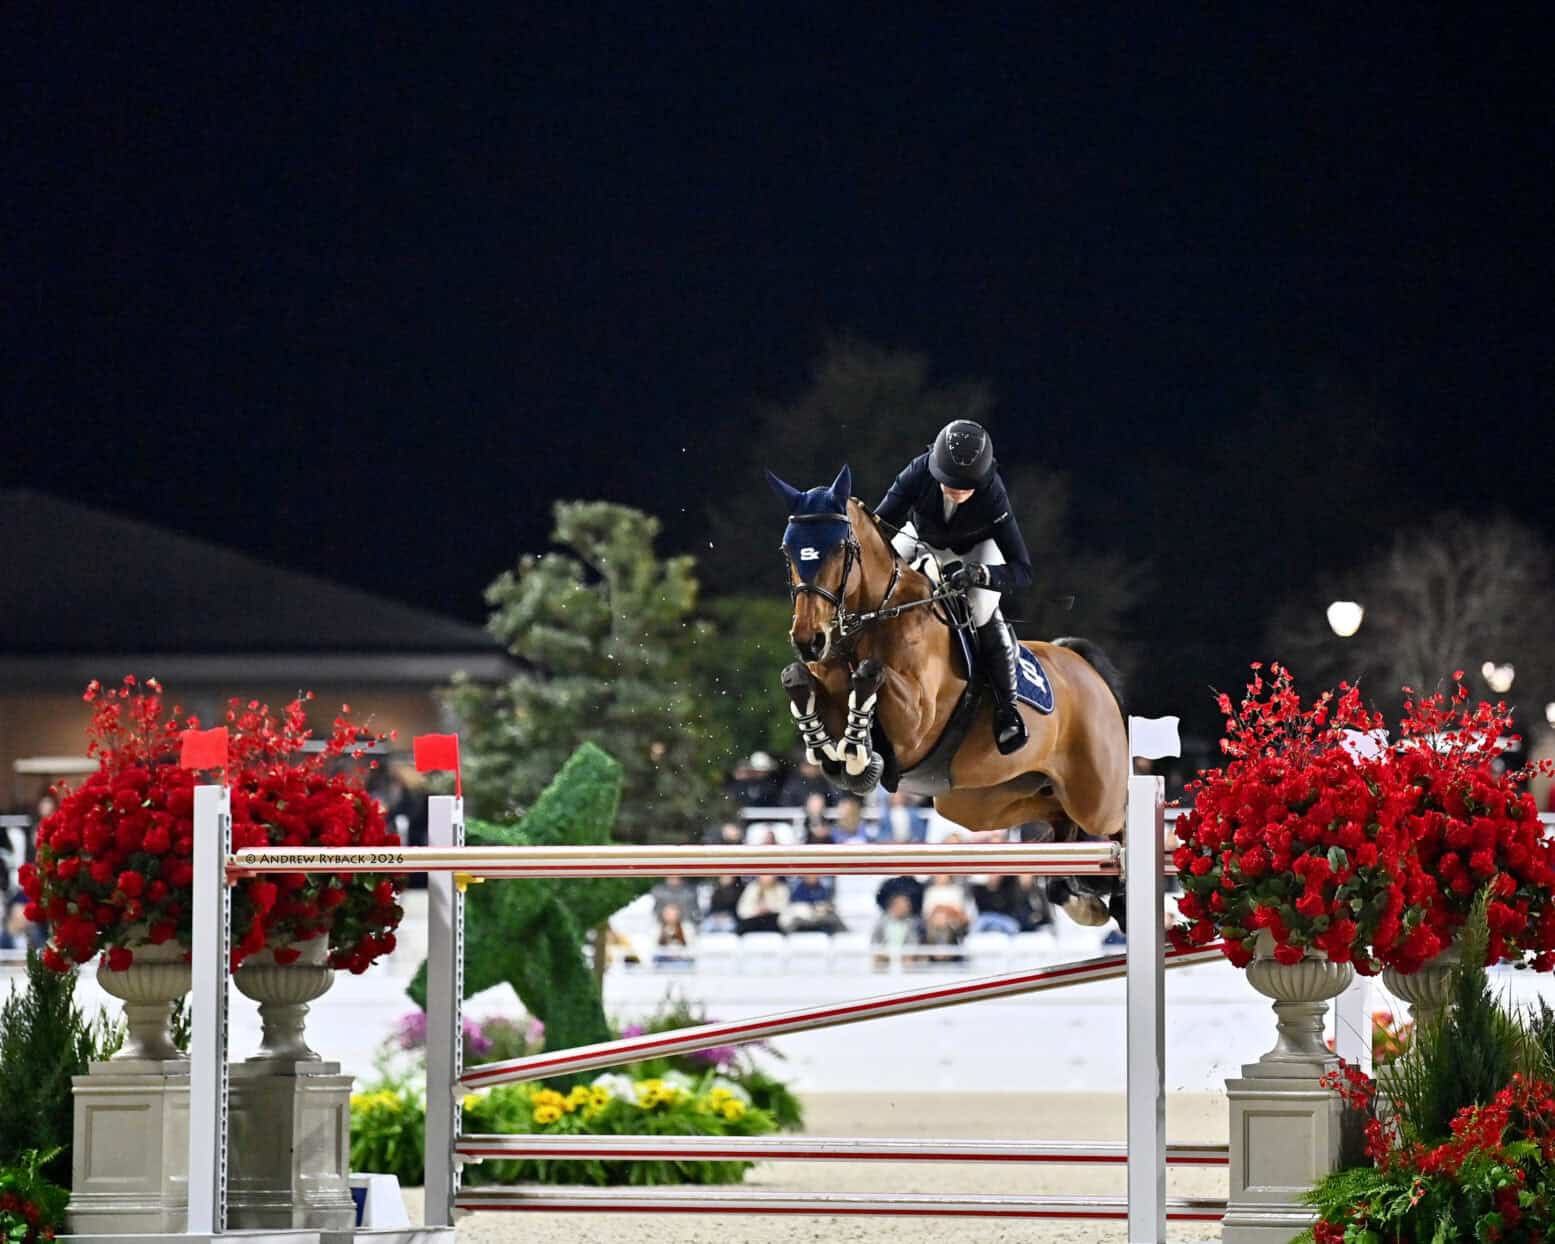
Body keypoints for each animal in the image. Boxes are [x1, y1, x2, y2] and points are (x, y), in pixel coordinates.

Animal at [767, 464, 1131, 927]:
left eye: (839, 548)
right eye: (788, 551)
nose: (809, 640)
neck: (876, 617)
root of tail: (1083, 664)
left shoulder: (918, 723)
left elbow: (872, 676)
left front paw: (858, 752)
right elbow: (797, 680)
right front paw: (830, 749)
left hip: (1096, 797)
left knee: (1115, 822)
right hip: (979, 803)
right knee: (1058, 821)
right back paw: (1080, 892)